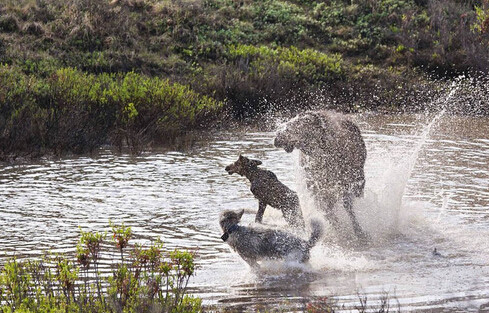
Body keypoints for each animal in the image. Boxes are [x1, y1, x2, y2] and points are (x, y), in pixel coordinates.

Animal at [274, 111, 366, 240]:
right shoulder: (316, 187)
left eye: (297, 125)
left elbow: (348, 209)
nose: (277, 138)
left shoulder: (347, 183)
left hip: (359, 179)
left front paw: (359, 233)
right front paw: (340, 231)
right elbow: (327, 211)